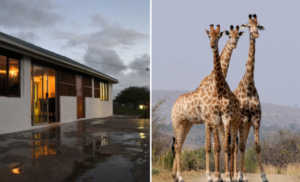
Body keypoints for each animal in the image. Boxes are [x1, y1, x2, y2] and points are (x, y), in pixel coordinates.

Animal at [171, 24, 241, 182]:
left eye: (238, 36)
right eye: (229, 36)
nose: (234, 44)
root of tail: (173, 107)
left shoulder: (213, 119)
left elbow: (215, 145)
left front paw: (218, 175)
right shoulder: (209, 119)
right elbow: (210, 146)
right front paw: (211, 175)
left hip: (187, 123)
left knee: (179, 144)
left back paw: (175, 175)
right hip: (178, 122)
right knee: (177, 146)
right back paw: (180, 176)